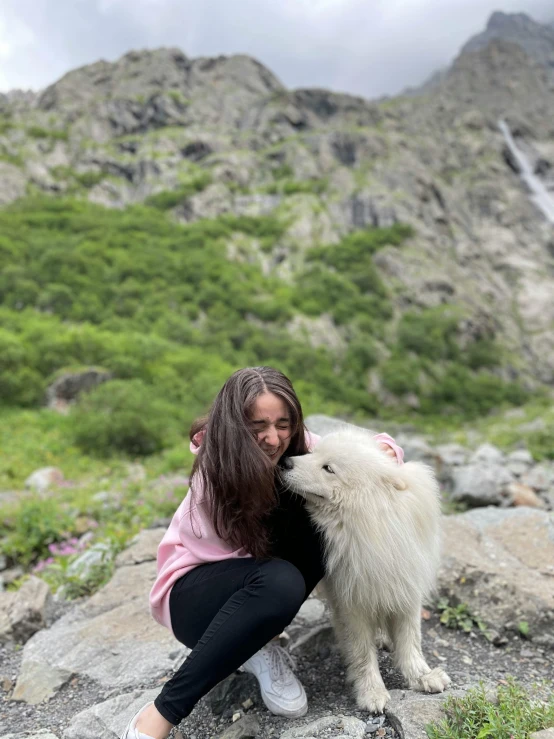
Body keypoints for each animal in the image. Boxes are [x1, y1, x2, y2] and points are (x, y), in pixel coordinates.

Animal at [280, 430, 448, 712]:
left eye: (328, 468)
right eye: (312, 453)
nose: (285, 462)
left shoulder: (405, 587)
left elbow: (410, 640)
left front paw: (423, 676)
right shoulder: (351, 600)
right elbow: (361, 651)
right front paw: (372, 693)